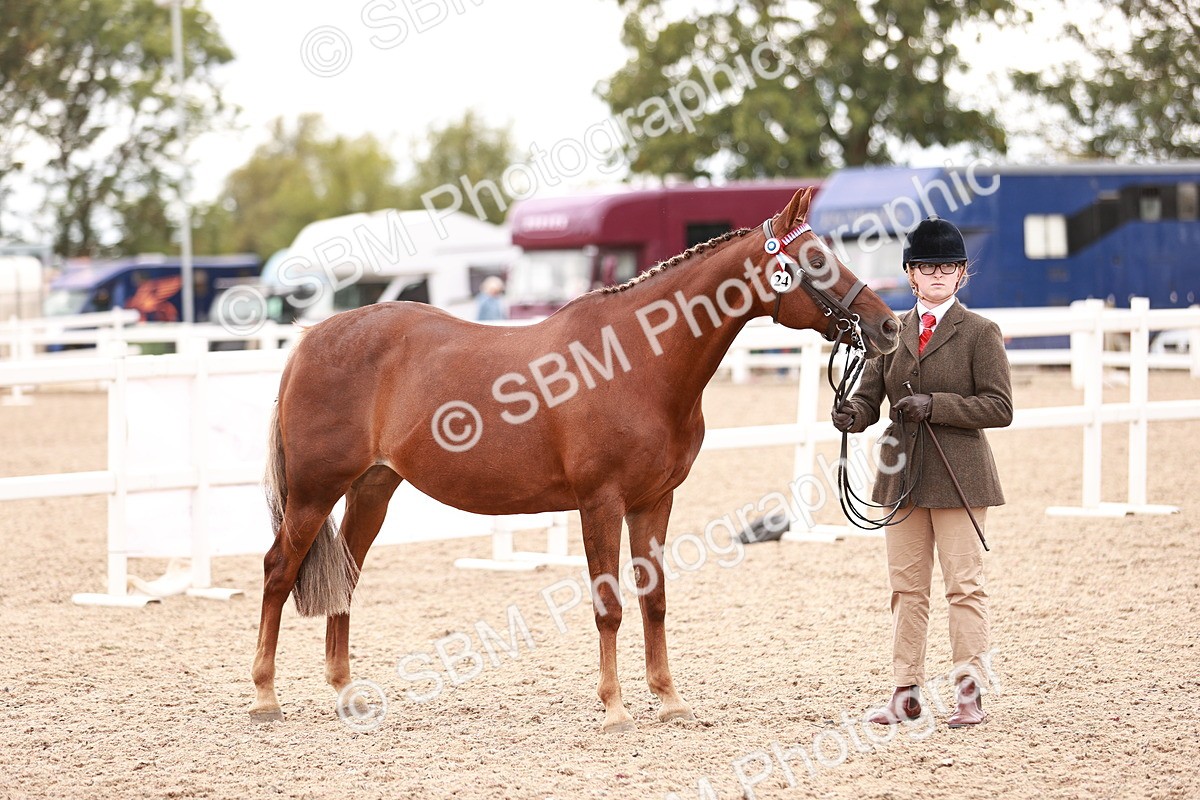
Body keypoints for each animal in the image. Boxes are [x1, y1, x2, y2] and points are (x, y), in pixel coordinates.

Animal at [250, 187, 900, 732]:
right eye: (815, 259)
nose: (888, 325)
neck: (637, 360)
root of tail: (309, 339)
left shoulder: (653, 502)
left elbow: (655, 600)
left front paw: (668, 700)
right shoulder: (601, 502)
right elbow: (609, 604)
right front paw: (614, 708)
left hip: (372, 488)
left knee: (346, 577)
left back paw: (347, 696)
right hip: (313, 493)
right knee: (278, 571)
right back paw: (265, 697)